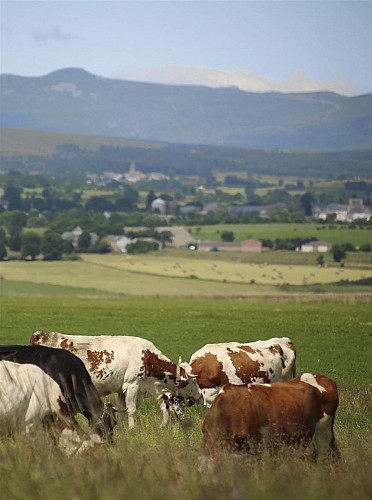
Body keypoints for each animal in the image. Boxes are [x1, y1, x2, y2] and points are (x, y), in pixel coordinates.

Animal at [30, 330, 202, 428]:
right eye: (193, 381)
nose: (199, 396)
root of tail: (40, 334)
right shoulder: (132, 385)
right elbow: (132, 410)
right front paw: (132, 429)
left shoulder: (121, 389)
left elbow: (122, 410)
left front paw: (120, 428)